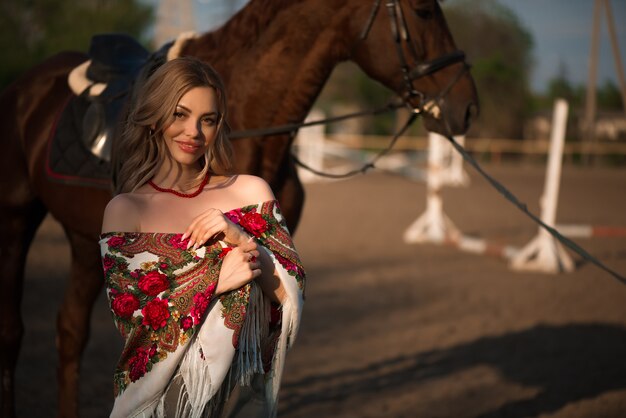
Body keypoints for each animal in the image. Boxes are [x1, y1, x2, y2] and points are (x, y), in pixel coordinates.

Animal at [0, 0, 472, 414]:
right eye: (424, 11)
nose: (466, 106)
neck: (252, 121)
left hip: (84, 240)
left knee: (69, 330)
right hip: (18, 220)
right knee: (15, 330)